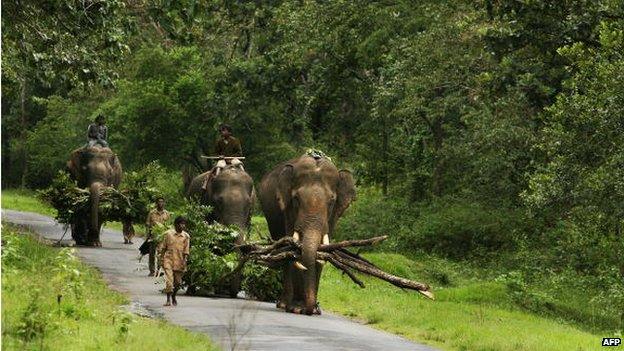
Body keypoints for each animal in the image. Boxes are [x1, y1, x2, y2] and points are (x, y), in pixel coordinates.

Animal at [258, 154, 356, 316]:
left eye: (331, 201)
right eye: (296, 199)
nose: (312, 308)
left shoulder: (333, 217)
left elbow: (322, 249)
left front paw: (312, 310)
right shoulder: (287, 210)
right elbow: (293, 249)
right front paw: (297, 308)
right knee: (284, 253)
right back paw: (284, 304)